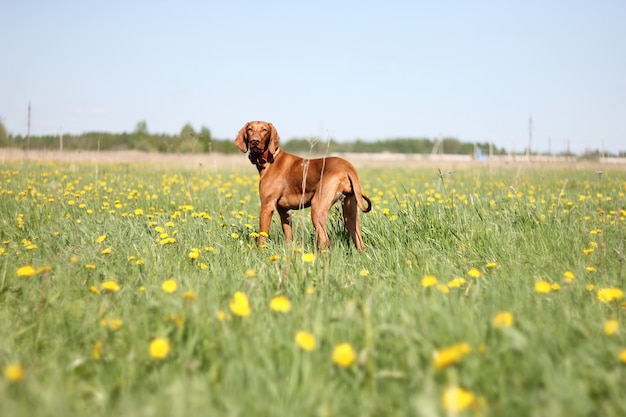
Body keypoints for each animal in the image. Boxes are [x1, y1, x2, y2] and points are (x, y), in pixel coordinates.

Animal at [234, 121, 370, 250]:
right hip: (350, 215)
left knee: (325, 242)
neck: (270, 159)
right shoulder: (285, 211)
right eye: (249, 129)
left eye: (264, 130)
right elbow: (288, 237)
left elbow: (261, 238)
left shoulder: (267, 206)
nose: (254, 141)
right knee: (360, 243)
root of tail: (348, 166)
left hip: (317, 210)